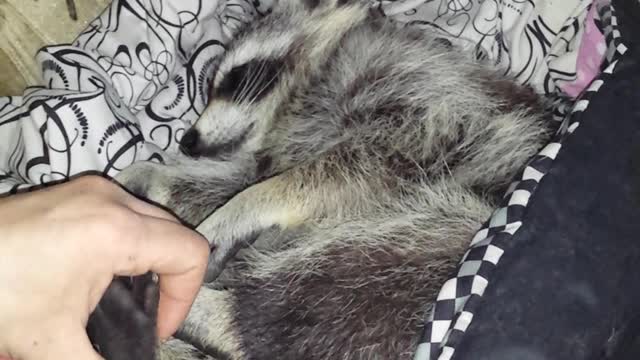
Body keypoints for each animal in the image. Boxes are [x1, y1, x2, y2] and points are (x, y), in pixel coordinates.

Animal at [109, 0, 556, 358]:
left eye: (234, 79)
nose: (189, 141)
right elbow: (221, 187)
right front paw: (149, 179)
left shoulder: (433, 96)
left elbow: (375, 156)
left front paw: (254, 201)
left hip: (448, 244)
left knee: (340, 284)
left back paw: (213, 314)